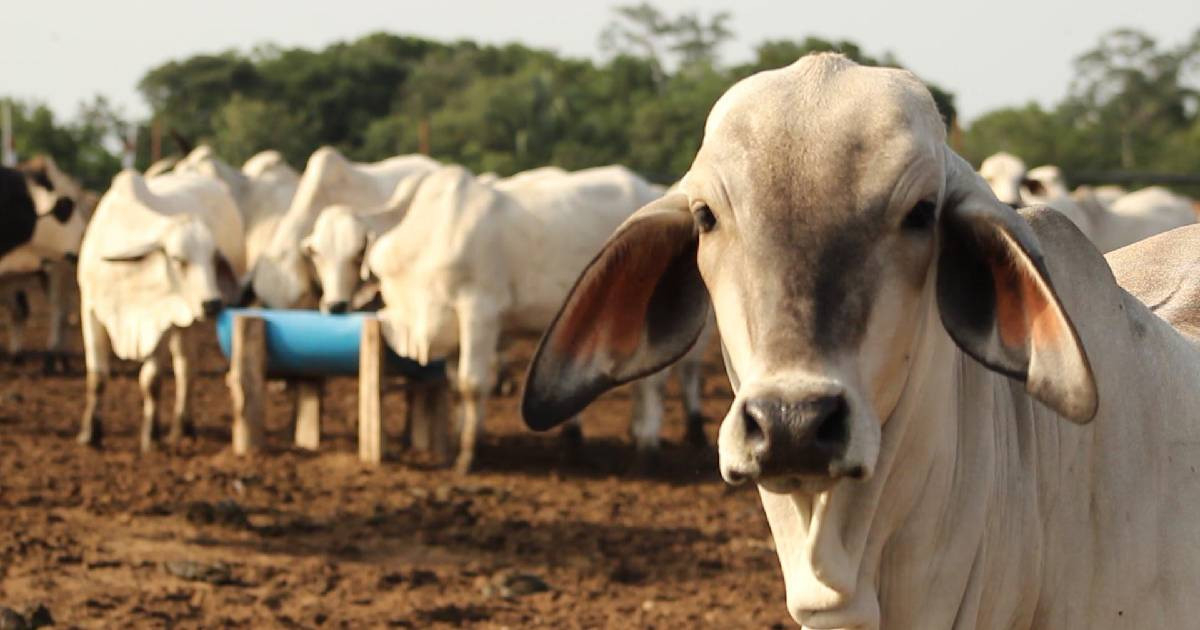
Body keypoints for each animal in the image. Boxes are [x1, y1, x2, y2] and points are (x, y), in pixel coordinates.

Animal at [77, 170, 244, 451]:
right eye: (177, 259)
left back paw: (182, 428)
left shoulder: (160, 322)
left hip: (184, 320)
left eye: (213, 259)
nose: (212, 304)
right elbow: (97, 378)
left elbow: (151, 381)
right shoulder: (89, 310)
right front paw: (90, 434)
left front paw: (150, 437)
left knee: (186, 368)